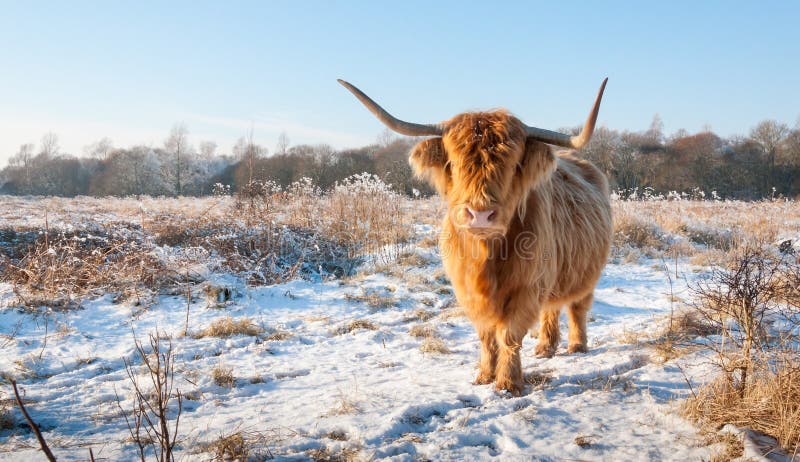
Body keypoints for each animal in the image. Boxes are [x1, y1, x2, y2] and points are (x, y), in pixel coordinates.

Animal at [340, 78, 612, 394]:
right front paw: (484, 375)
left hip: (586, 272)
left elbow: (509, 334)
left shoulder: (527, 287)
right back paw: (546, 347)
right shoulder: (469, 290)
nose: (480, 215)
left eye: (513, 166)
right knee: (552, 307)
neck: (486, 255)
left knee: (577, 306)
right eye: (455, 164)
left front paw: (508, 383)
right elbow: (486, 335)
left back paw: (577, 345)